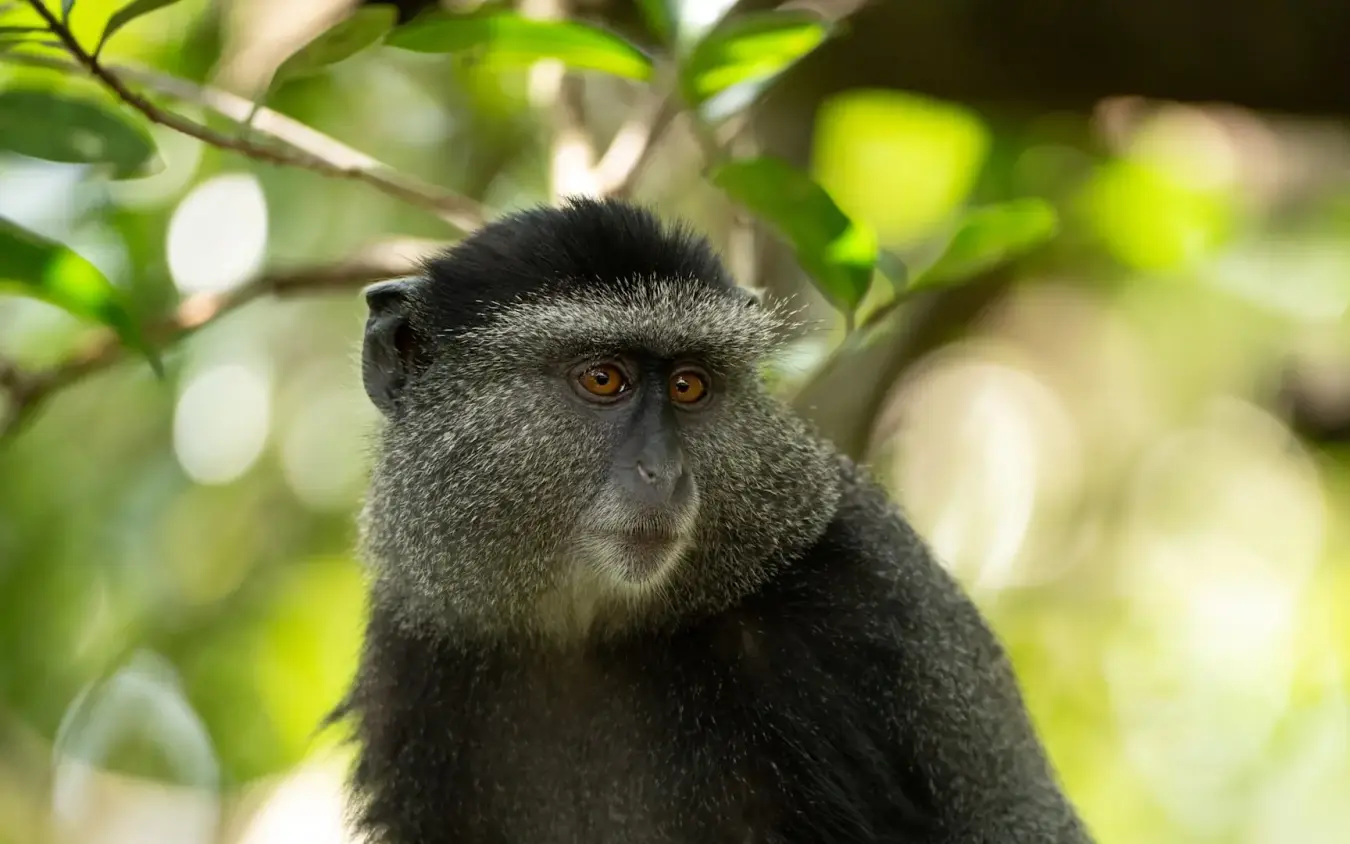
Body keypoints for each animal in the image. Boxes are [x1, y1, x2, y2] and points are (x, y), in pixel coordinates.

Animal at [334, 196, 1094, 844]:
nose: (664, 472)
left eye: (688, 386)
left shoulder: (843, 621)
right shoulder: (415, 659)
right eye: (603, 378)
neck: (586, 634)